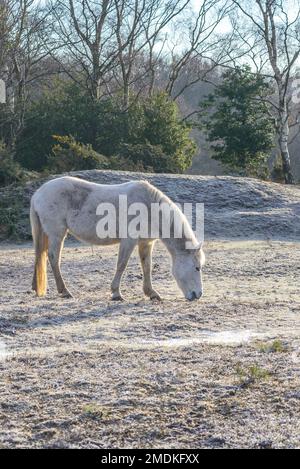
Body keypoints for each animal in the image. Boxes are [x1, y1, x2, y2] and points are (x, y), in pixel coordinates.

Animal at [30, 176, 205, 300]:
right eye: (197, 268)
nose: (198, 295)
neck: (148, 207)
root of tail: (38, 194)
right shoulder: (129, 241)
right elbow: (122, 264)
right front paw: (116, 293)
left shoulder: (146, 243)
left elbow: (147, 267)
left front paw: (151, 293)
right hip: (57, 234)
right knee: (53, 258)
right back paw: (65, 291)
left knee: (40, 256)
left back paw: (36, 287)